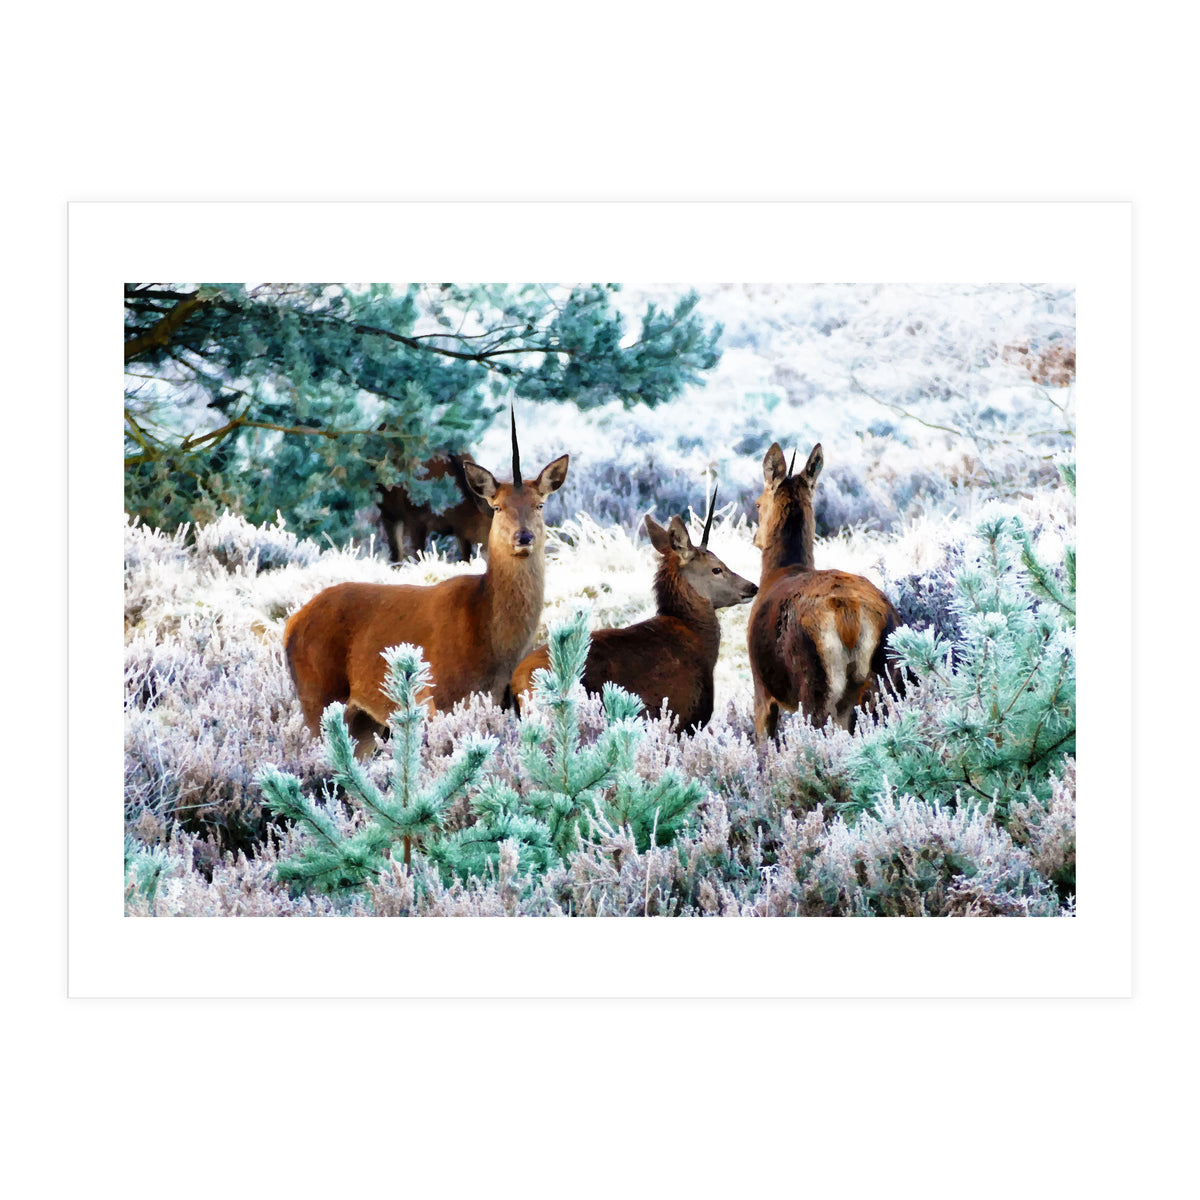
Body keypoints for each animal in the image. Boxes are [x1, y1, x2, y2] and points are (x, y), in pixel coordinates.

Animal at [284, 410, 568, 756]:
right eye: (497, 506)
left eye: (540, 504)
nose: (523, 536)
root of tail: (291, 625)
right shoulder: (440, 698)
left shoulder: (501, 703)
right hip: (318, 694)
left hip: (363, 720)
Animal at [747, 442, 904, 741]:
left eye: (758, 503)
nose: (755, 538)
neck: (778, 572)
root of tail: (850, 616)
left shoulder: (761, 688)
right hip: (890, 674)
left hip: (815, 683)